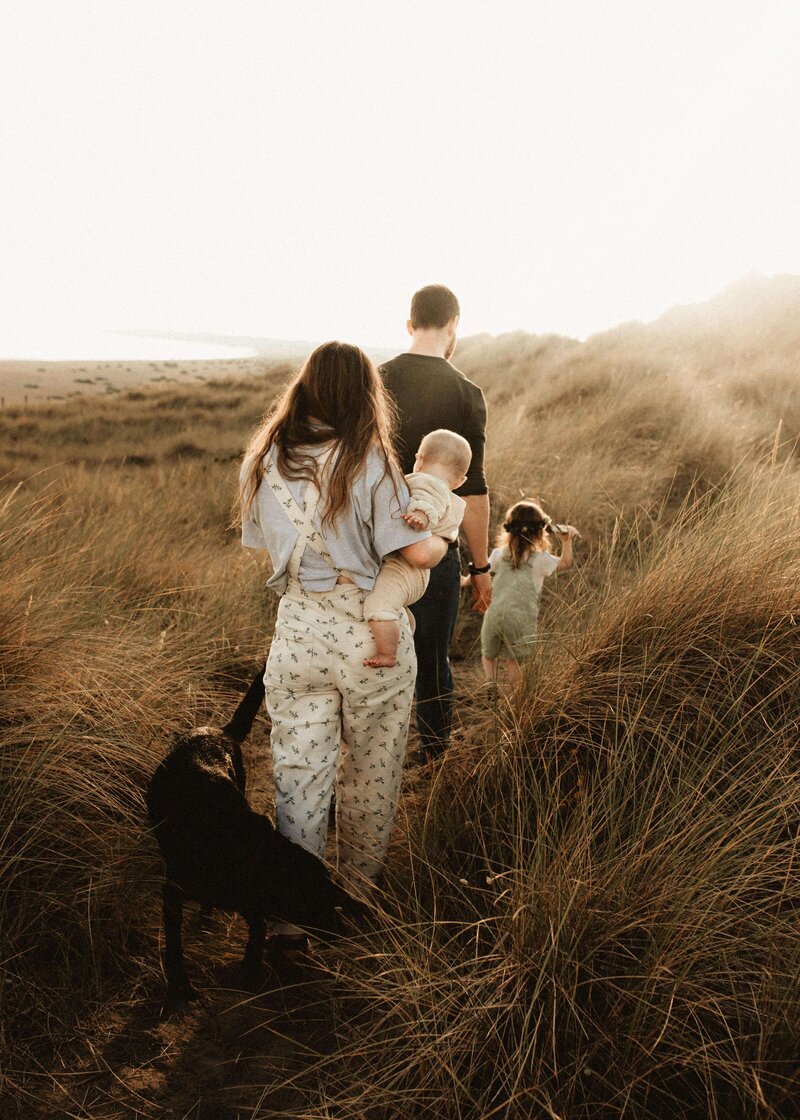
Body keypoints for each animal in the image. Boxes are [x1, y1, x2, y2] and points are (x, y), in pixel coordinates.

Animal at [145, 667, 365, 994]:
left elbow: (256, 939)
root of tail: (219, 732)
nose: (344, 930)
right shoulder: (173, 892)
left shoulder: (252, 905)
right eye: (315, 900)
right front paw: (180, 987)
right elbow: (174, 946)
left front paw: (248, 977)